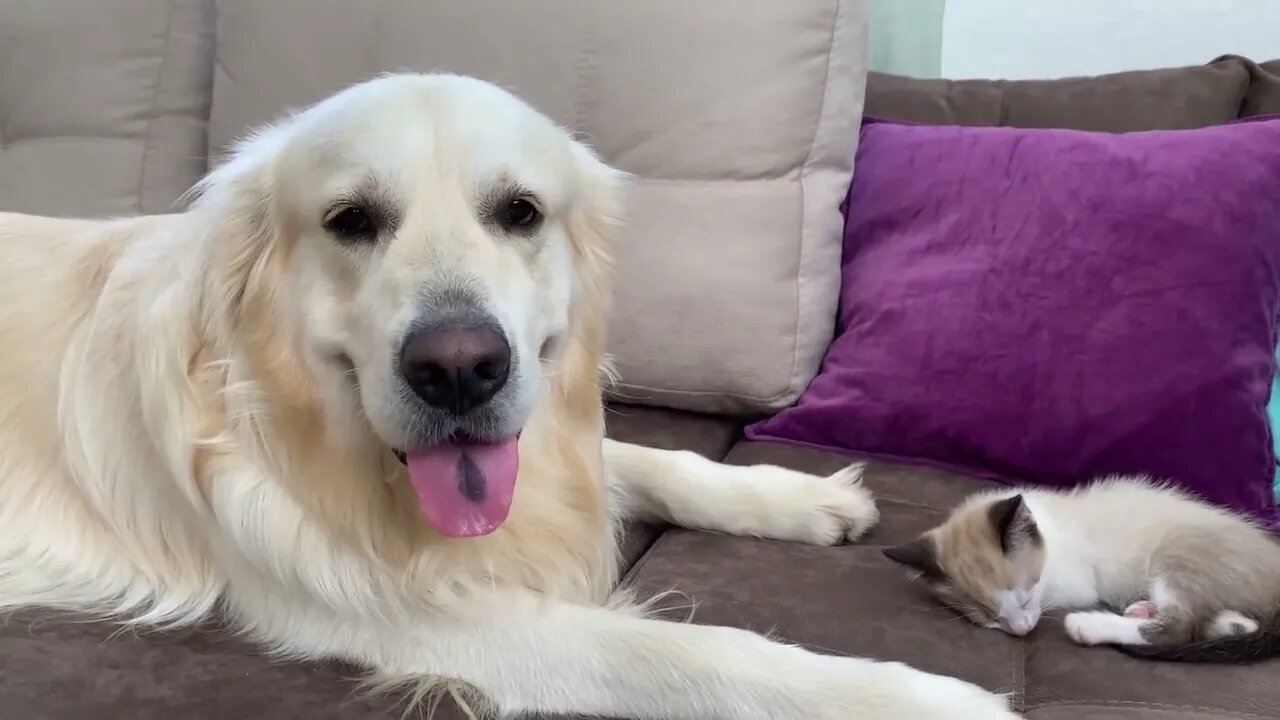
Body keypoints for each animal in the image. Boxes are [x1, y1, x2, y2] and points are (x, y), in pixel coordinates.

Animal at [0, 74, 1018, 717]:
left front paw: (802, 498)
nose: (459, 368)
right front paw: (919, 698)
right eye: (349, 220)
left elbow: (657, 460)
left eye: (520, 211)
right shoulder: (415, 611)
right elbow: (696, 653)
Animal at [880, 476, 1280, 661]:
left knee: (1179, 628)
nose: (1021, 632)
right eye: (990, 619)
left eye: (1026, 597)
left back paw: (1089, 625)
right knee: (1230, 622)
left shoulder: (1075, 584)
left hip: (1178, 555)